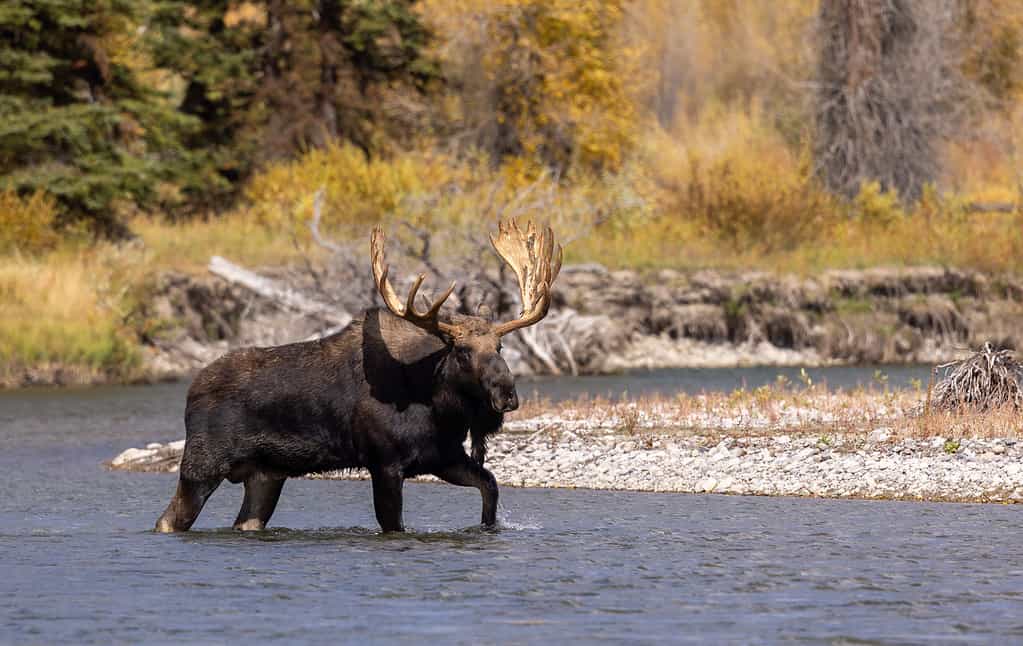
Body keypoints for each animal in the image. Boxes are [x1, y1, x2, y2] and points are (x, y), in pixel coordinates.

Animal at [155, 220, 564, 532]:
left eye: (500, 347)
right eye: (463, 352)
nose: (507, 394)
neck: (440, 407)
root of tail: (191, 392)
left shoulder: (443, 456)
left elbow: (490, 487)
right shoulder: (384, 462)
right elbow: (394, 524)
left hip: (265, 475)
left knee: (245, 522)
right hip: (201, 466)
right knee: (167, 521)